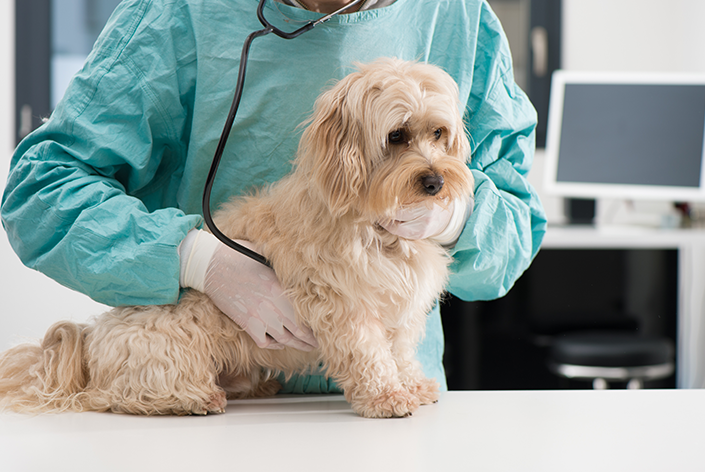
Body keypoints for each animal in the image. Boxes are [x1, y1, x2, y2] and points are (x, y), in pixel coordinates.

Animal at [1, 58, 472, 416]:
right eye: (396, 135)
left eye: (437, 133)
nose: (435, 183)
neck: (373, 223)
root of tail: (86, 343)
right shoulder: (344, 306)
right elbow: (371, 354)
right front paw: (387, 395)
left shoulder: (402, 307)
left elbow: (402, 350)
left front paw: (411, 384)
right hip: (173, 342)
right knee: (124, 394)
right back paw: (195, 398)